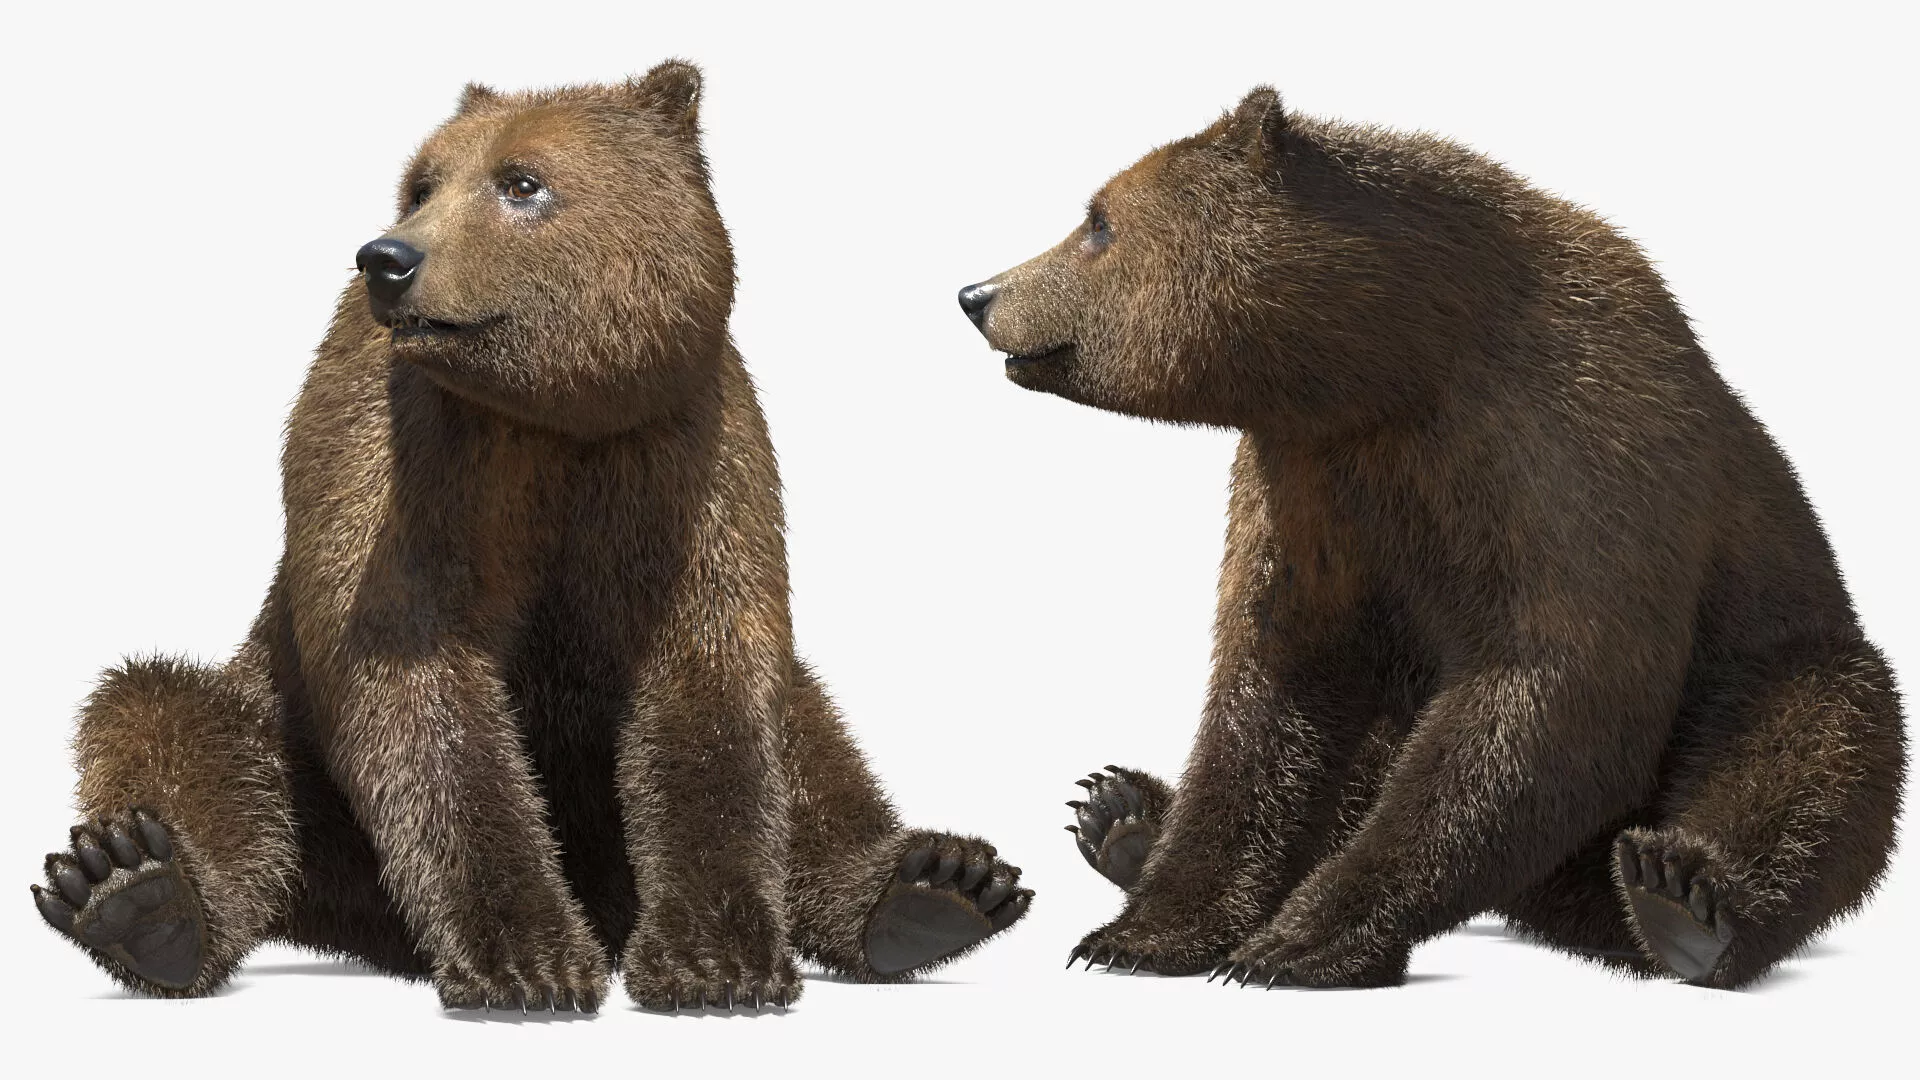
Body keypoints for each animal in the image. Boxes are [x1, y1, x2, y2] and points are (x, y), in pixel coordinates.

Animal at [30, 63, 1031, 1013]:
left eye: (522, 182)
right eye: (421, 182)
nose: (388, 257)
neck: (557, 415)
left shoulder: (691, 449)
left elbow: (710, 680)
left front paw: (716, 961)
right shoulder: (407, 450)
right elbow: (414, 674)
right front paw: (528, 961)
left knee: (812, 738)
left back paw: (934, 887)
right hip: (285, 738)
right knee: (175, 722)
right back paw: (136, 891)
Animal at [958, 86, 1904, 990]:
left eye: (1097, 222)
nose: (977, 295)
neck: (1394, 362)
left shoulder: (1562, 441)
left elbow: (1554, 683)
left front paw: (1296, 943)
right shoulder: (1306, 481)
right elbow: (1275, 685)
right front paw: (1143, 931)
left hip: (1778, 660)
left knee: (1817, 739)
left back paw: (1684, 903)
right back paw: (1119, 816)